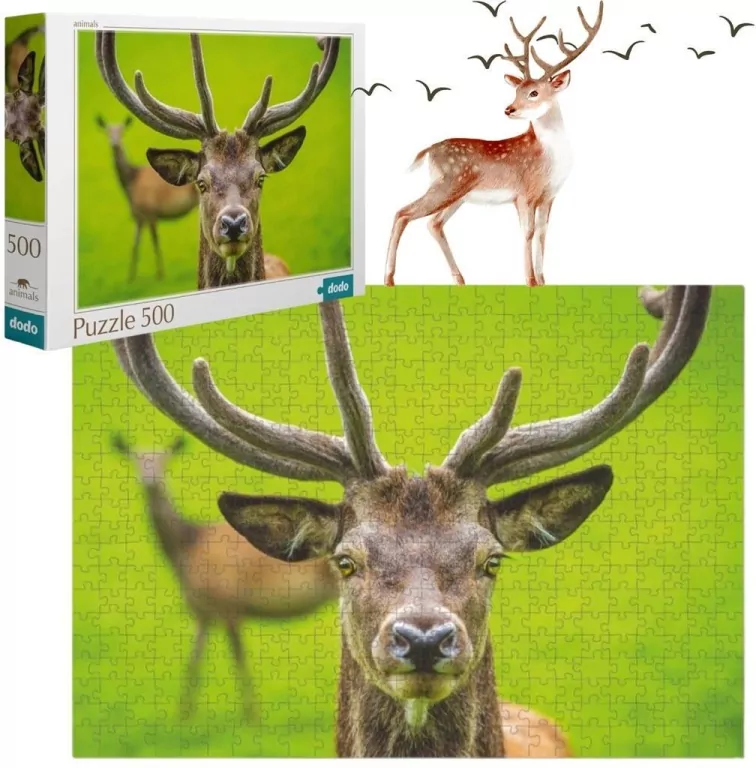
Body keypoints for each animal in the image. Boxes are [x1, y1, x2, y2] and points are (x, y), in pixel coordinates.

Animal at [95, 115, 199, 281]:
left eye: (121, 131)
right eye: (108, 131)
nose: (115, 144)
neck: (131, 184)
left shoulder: (151, 211)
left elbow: (155, 242)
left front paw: (160, 274)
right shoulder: (138, 216)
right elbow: (134, 246)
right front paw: (130, 277)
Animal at [109, 430, 339, 720]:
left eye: (164, 460)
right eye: (136, 459)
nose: (150, 481)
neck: (187, 550)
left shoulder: (230, 603)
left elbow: (239, 659)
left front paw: (252, 716)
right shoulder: (201, 612)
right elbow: (194, 661)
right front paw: (183, 715)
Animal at [385, 2, 604, 288]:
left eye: (533, 92)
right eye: (517, 90)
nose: (509, 109)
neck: (549, 158)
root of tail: (429, 151)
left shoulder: (549, 196)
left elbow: (543, 233)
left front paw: (543, 281)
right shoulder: (524, 193)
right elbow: (528, 232)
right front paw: (530, 281)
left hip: (457, 194)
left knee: (433, 223)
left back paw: (460, 279)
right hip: (447, 183)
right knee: (403, 212)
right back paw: (389, 278)